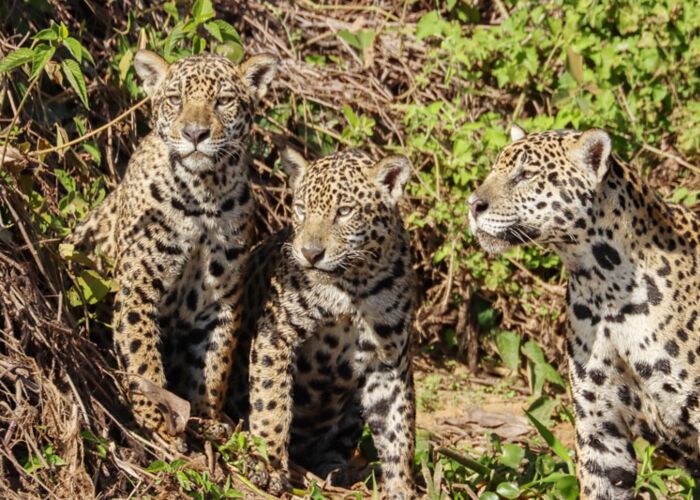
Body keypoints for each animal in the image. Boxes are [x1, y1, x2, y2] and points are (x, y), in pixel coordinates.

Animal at [66, 49, 278, 447]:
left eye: (222, 101)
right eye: (175, 99)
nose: (195, 133)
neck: (204, 194)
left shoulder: (220, 300)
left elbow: (213, 363)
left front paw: (207, 417)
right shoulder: (138, 284)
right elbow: (142, 354)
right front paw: (157, 416)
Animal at [224, 147, 417, 498]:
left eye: (344, 212)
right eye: (301, 209)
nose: (311, 253)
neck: (351, 286)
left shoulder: (388, 362)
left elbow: (398, 430)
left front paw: (402, 488)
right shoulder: (277, 332)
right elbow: (272, 403)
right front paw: (268, 465)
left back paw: (335, 473)